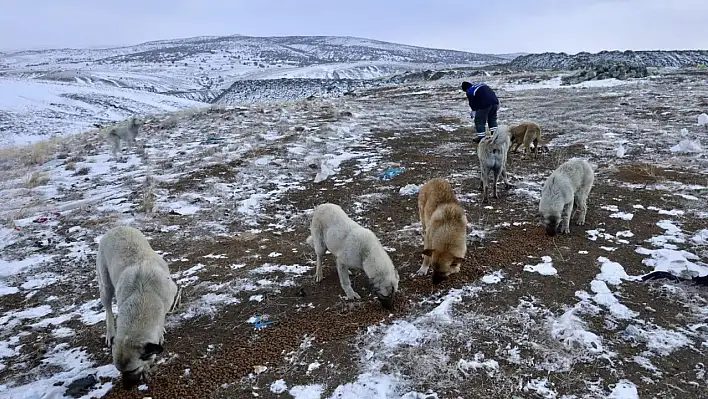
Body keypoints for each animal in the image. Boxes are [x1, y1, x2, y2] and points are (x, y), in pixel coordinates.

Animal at [96, 227, 180, 390]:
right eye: (119, 371)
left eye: (133, 370)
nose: (126, 388)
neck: (144, 296)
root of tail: (117, 227)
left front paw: (161, 332)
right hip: (106, 286)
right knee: (108, 310)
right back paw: (110, 333)